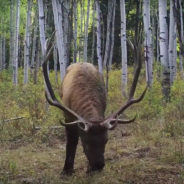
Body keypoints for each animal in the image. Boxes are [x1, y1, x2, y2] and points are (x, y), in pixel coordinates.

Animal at [41, 35, 147, 175]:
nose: (98, 166)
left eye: (106, 140)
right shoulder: (67, 116)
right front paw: (67, 170)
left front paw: (88, 168)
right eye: (86, 141)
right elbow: (71, 142)